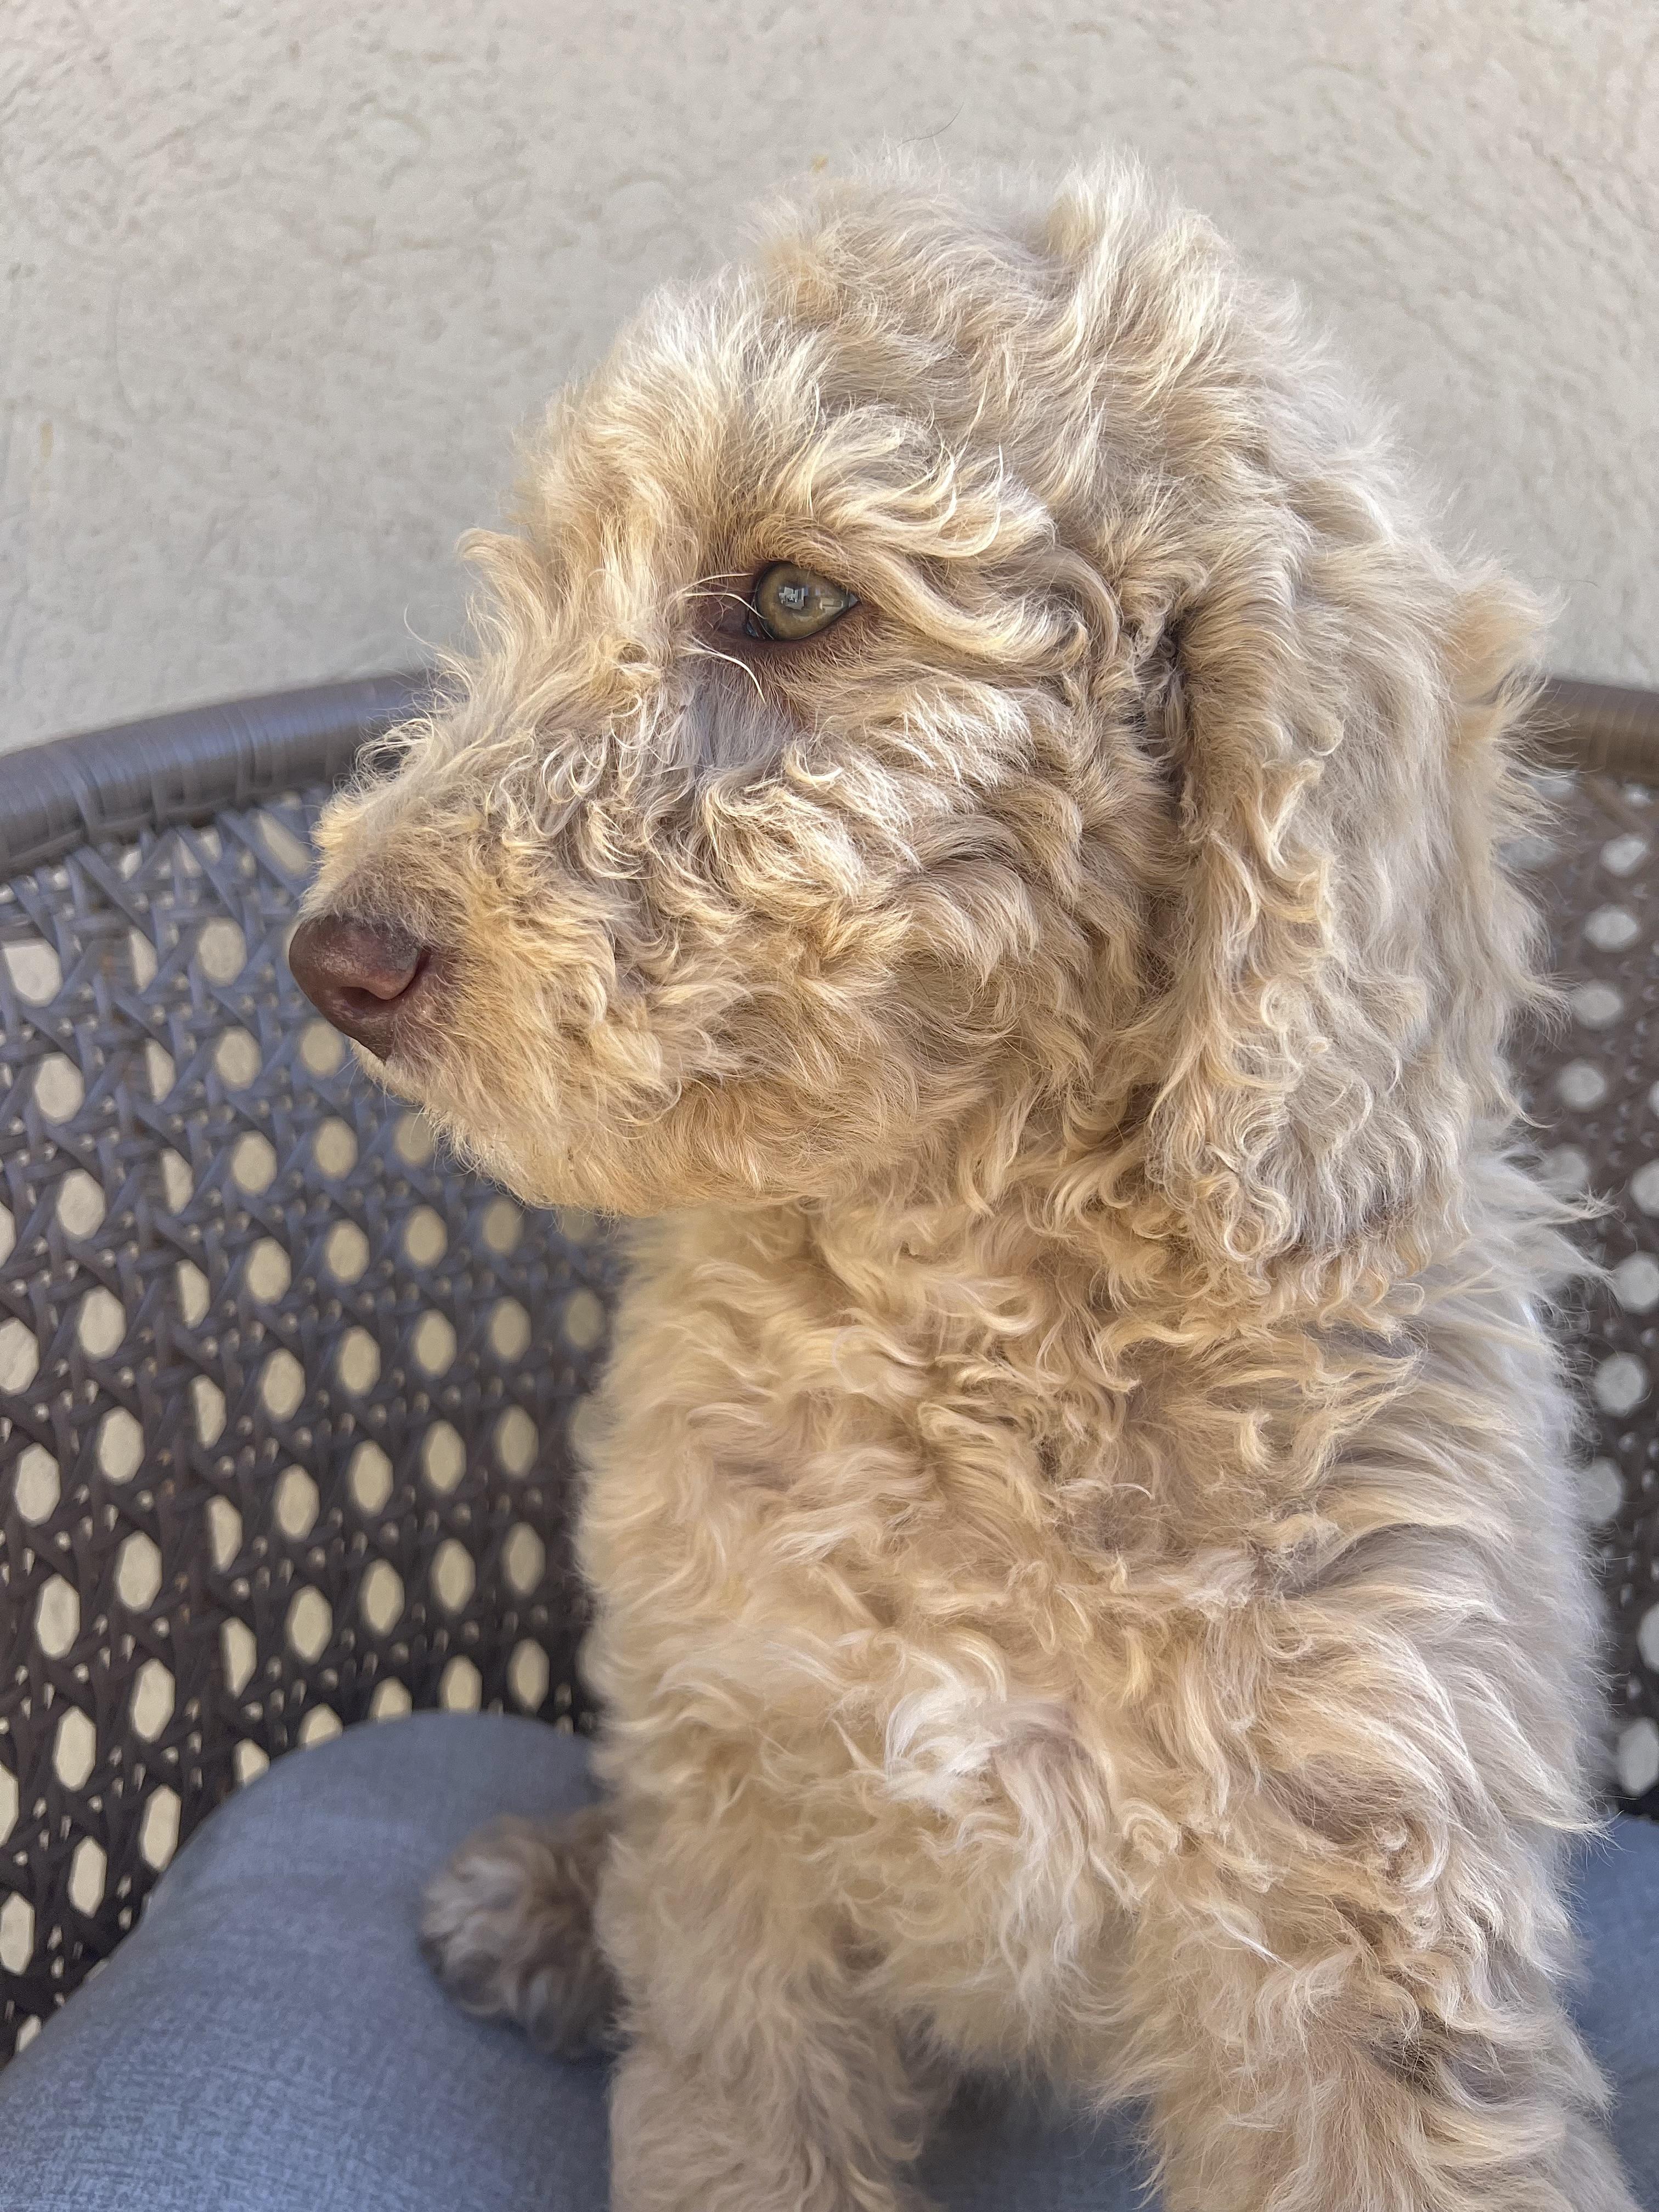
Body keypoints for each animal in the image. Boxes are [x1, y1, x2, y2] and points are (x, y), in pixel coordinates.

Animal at [289, 161, 1635, 2211]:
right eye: (542, 587)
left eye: (787, 598)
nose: (335, 955)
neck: (981, 1292)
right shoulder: (744, 1829)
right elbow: (740, 2113)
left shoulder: (1367, 1925)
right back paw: (539, 1904)